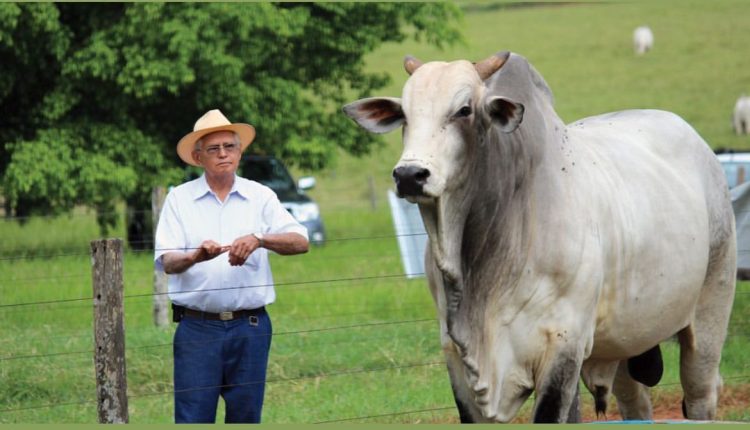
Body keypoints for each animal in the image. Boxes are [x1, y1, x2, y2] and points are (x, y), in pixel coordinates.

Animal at [346, 51, 740, 424]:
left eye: (464, 110)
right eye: (405, 115)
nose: (409, 175)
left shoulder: (562, 345)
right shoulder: (456, 355)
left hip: (711, 310)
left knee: (702, 394)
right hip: (622, 339)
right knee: (636, 405)